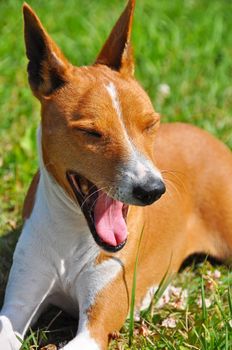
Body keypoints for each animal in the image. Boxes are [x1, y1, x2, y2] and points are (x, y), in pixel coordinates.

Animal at [0, 0, 232, 350]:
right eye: (90, 132)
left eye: (150, 124)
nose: (152, 190)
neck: (73, 233)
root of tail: (210, 138)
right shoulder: (19, 302)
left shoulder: (95, 328)